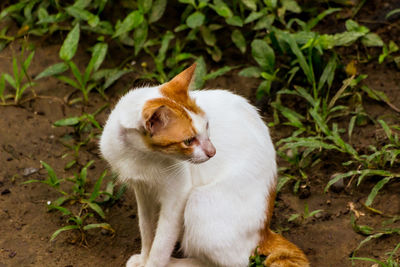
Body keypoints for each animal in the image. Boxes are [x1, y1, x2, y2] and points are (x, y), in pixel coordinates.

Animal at [99, 65, 310, 267]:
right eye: (188, 141)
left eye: (207, 125)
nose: (213, 152)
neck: (139, 155)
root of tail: (264, 231)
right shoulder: (142, 191)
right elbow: (146, 229)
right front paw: (144, 258)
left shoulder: (177, 197)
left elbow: (161, 245)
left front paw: (153, 263)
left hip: (199, 201)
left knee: (233, 262)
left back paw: (174, 263)